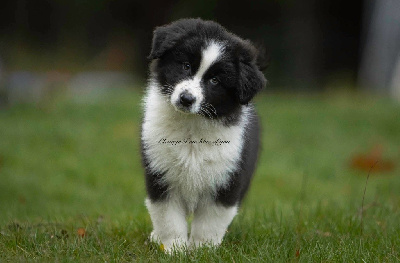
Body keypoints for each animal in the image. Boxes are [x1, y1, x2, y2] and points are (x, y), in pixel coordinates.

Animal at [140, 18, 266, 254]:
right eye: (186, 66)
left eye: (215, 81)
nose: (186, 99)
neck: (192, 128)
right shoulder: (160, 173)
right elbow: (168, 217)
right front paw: (174, 249)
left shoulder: (226, 178)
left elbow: (211, 221)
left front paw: (201, 250)